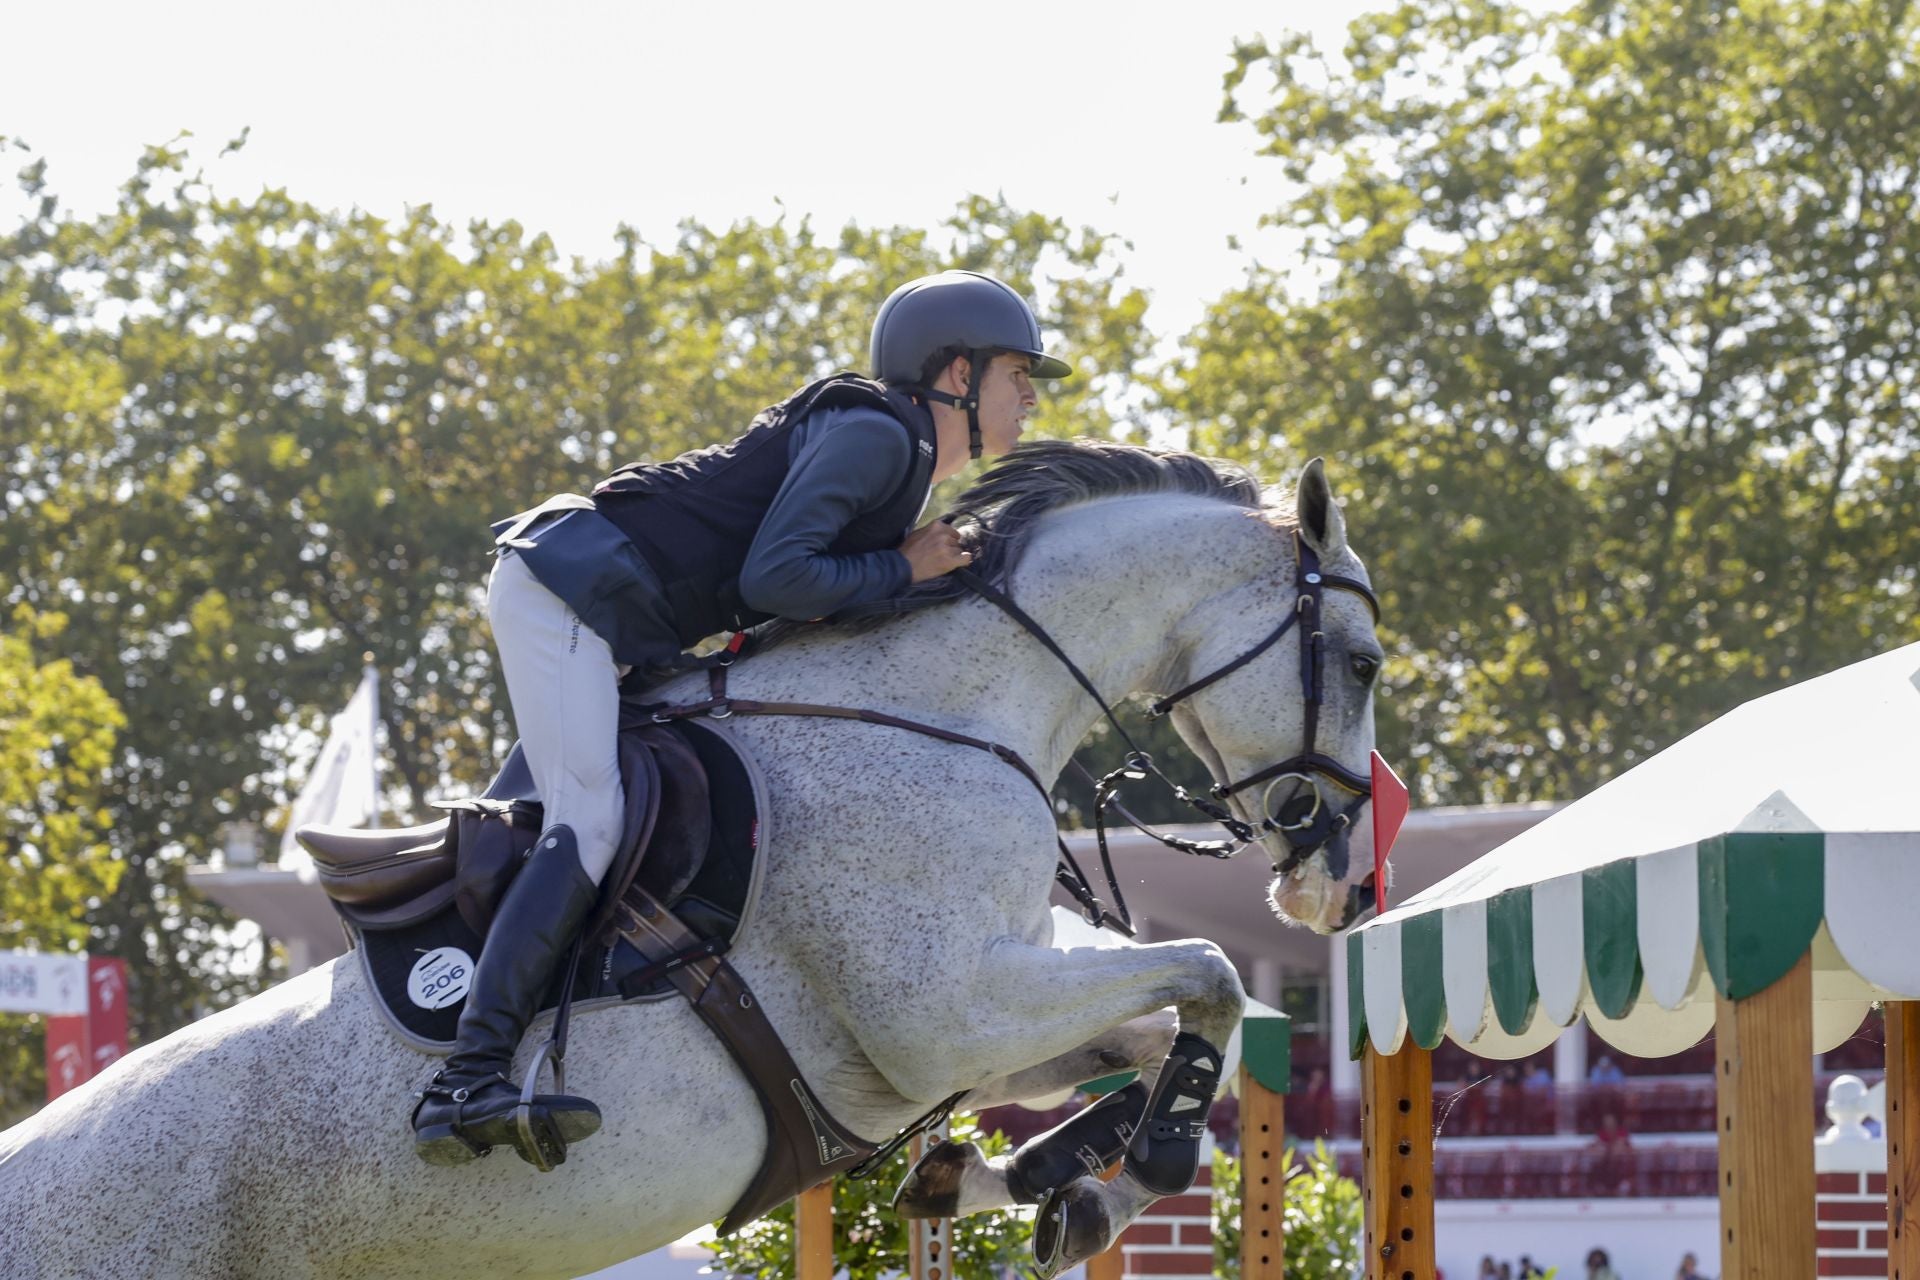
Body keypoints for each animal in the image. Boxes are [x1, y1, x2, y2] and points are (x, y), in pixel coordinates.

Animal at [0, 443, 1382, 1280]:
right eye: (1366, 663)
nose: (1341, 881)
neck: (942, 708)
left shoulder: (967, 1025)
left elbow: (1174, 1027)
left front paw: (1028, 1178)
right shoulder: (943, 1009)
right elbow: (1208, 972)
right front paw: (1111, 1178)